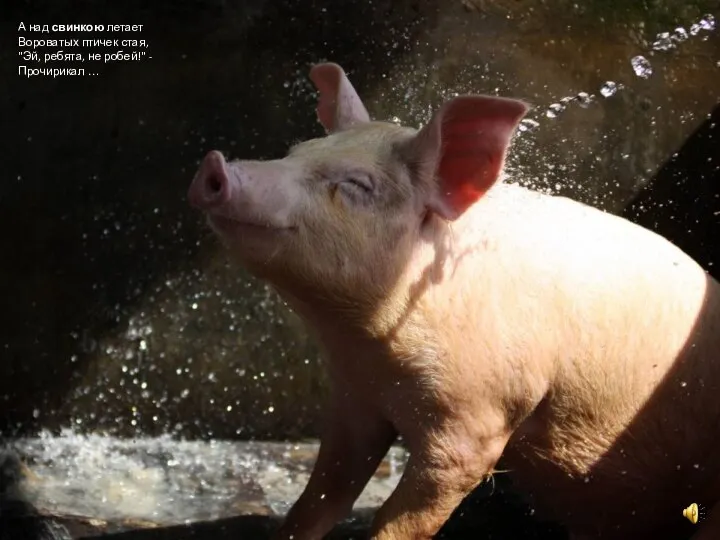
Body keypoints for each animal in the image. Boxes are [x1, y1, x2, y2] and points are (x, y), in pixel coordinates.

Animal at [188, 64, 720, 540]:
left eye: (357, 185)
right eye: (295, 152)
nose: (216, 164)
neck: (369, 349)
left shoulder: (478, 423)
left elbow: (400, 520)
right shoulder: (354, 398)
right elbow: (317, 501)